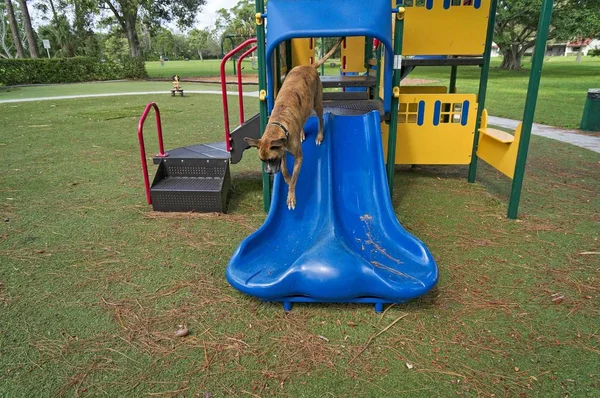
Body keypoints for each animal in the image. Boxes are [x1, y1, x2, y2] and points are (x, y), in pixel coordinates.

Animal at [245, 38, 342, 210]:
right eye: (263, 160)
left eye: (271, 159)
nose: (268, 172)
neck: (278, 125)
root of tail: (309, 66)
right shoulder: (282, 151)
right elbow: (284, 170)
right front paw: (287, 180)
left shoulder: (298, 157)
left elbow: (295, 176)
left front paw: (291, 194)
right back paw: (302, 133)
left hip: (317, 103)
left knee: (320, 119)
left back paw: (319, 135)